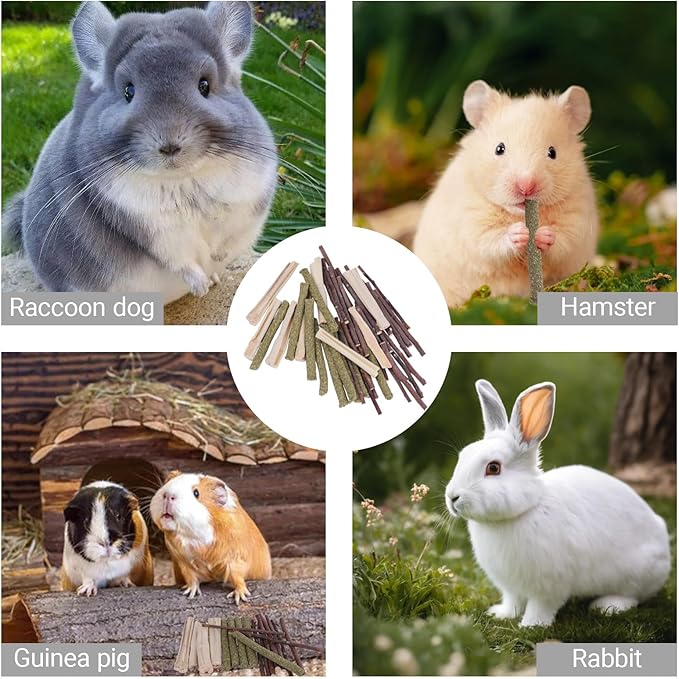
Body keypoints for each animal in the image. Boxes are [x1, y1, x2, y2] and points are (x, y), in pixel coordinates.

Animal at [3, 1, 277, 302]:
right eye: (128, 91)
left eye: (204, 86)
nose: (169, 145)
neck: (182, 179)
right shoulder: (150, 228)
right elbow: (180, 259)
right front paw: (200, 286)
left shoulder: (247, 204)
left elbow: (228, 240)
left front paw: (216, 263)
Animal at [150, 472, 271, 602]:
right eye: (168, 483)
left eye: (196, 493)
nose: (168, 495)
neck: (193, 538)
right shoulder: (184, 562)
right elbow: (191, 578)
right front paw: (189, 593)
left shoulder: (236, 557)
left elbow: (237, 577)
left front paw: (240, 597)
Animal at [413, 80, 599, 307]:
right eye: (499, 149)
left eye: (552, 152)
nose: (526, 186)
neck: (519, 214)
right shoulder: (471, 221)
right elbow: (490, 240)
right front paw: (519, 233)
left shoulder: (577, 219)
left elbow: (563, 239)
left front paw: (543, 234)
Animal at [445, 379, 670, 627]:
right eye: (462, 456)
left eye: (493, 468)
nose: (452, 497)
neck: (525, 509)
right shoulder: (510, 586)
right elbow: (513, 601)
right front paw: (502, 614)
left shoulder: (549, 586)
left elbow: (540, 607)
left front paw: (530, 626)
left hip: (635, 573)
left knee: (633, 596)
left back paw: (607, 606)